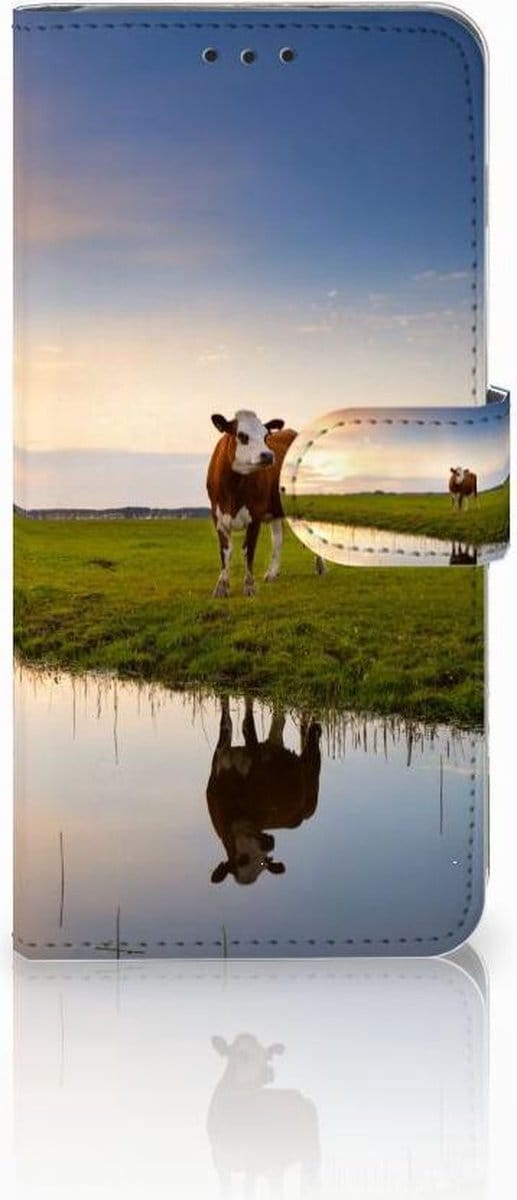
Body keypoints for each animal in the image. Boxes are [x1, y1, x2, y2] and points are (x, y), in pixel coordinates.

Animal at [207, 409, 324, 597]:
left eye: (266, 436)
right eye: (242, 435)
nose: (268, 455)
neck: (232, 489)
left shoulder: (255, 516)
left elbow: (248, 550)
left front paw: (249, 586)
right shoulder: (218, 517)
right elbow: (225, 551)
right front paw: (221, 587)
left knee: (312, 534)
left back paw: (320, 567)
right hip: (275, 509)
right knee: (278, 538)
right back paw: (272, 573)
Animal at [207, 697, 322, 886]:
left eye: (264, 861)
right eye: (241, 859)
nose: (269, 844)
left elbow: (247, 725)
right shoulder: (220, 755)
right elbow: (226, 722)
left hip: (312, 780)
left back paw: (315, 729)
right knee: (279, 723)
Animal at [207, 1033, 320, 1196]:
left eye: (267, 1056)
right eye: (242, 1054)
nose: (269, 1071)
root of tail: (299, 1094)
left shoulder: (253, 1163)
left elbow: (248, 1191)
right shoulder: (220, 1163)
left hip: (311, 1155)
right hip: (276, 1165)